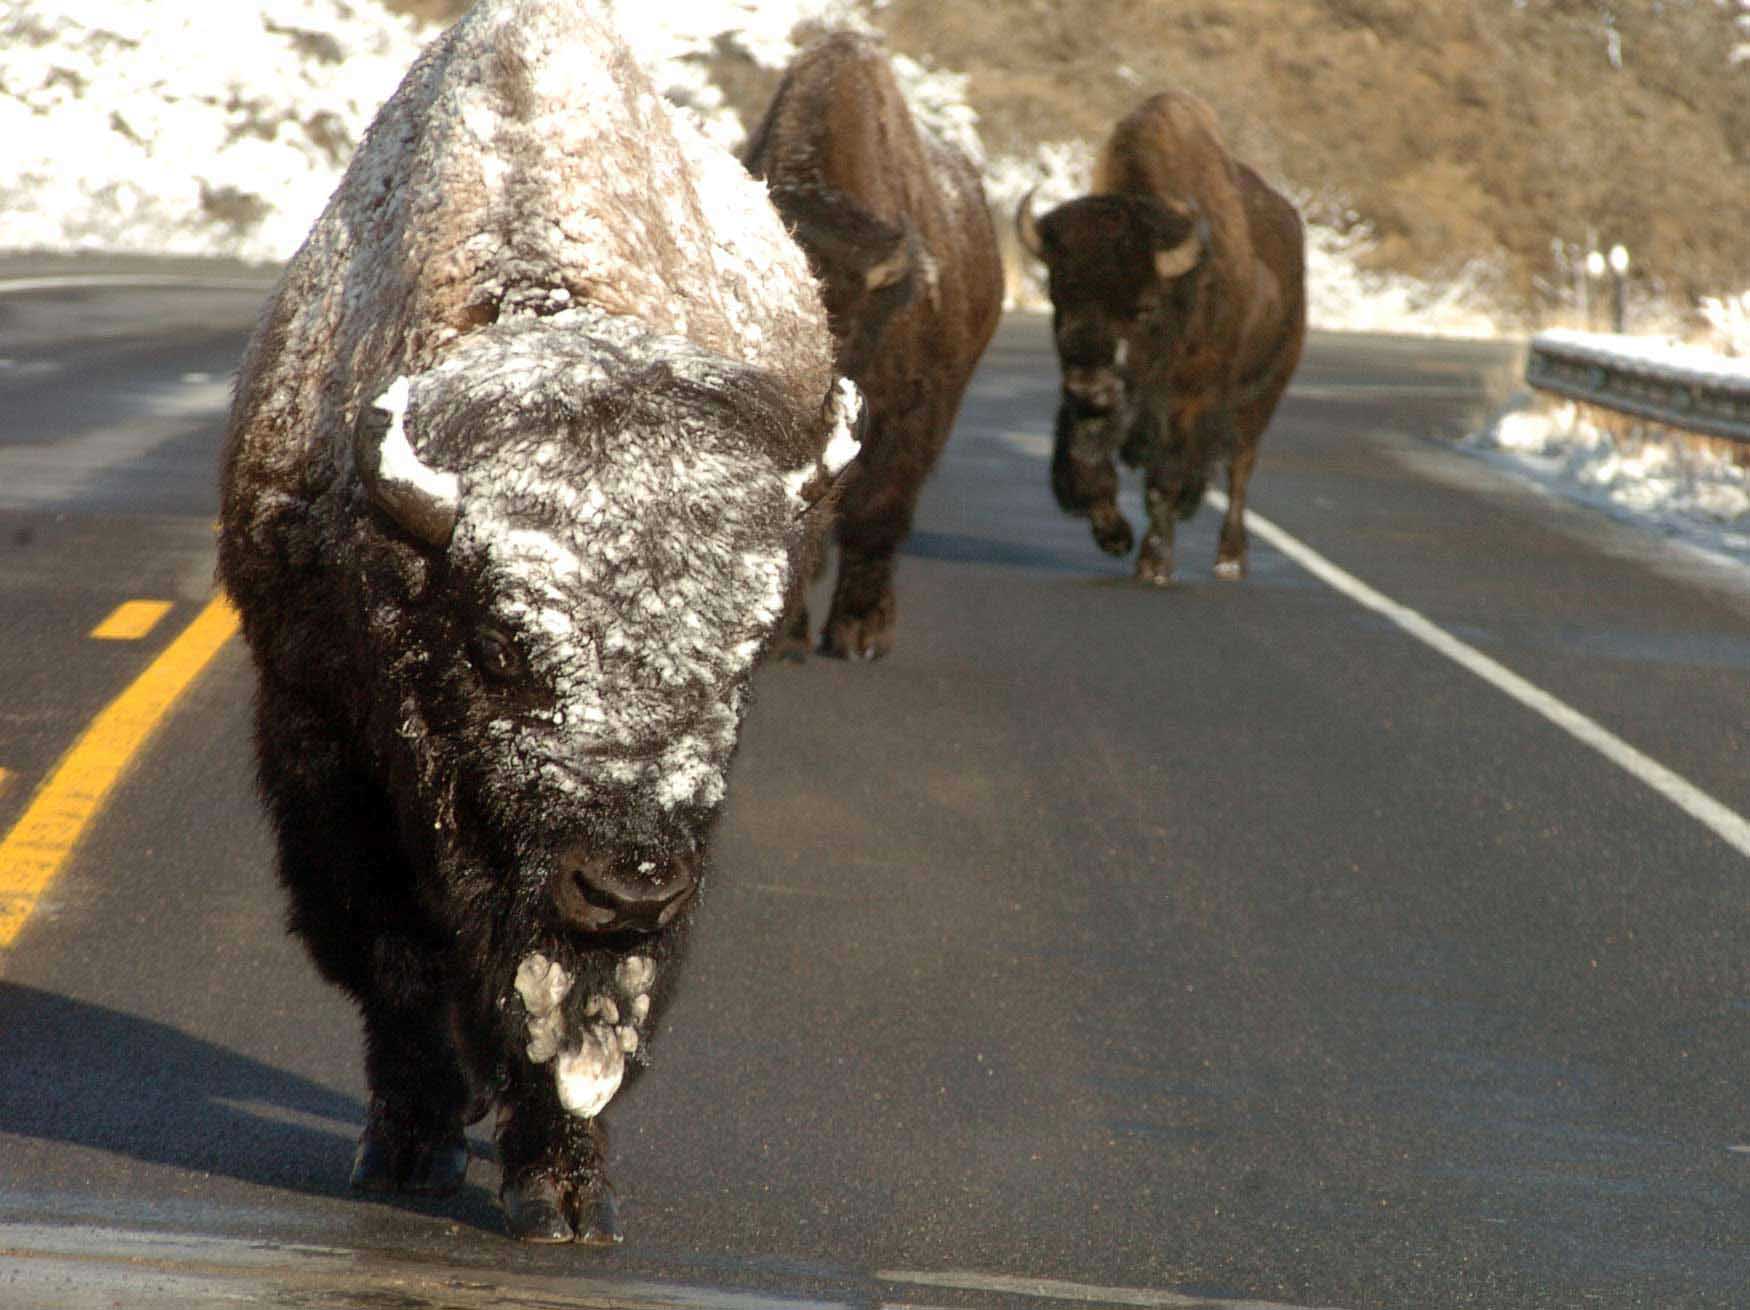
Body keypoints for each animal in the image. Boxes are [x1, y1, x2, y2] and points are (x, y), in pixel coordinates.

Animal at [218, 0, 861, 1245]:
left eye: (742, 658)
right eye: (501, 644)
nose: (627, 881)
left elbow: (575, 1029)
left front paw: (566, 1195)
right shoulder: (314, 730)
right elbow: (393, 957)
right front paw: (408, 1146)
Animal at [1015, 91, 1302, 584]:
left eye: (1145, 307)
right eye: (1057, 296)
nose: (1091, 385)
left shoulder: (1189, 405)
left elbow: (1163, 482)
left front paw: (1152, 564)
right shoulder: (1083, 408)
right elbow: (1085, 465)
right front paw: (1114, 536)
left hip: (1260, 399)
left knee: (1239, 469)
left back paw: (1230, 559)